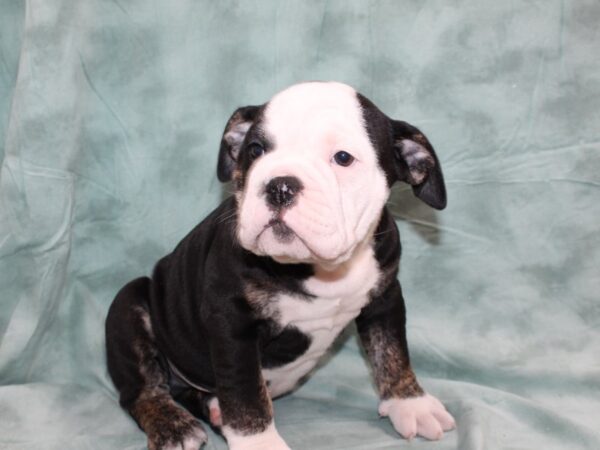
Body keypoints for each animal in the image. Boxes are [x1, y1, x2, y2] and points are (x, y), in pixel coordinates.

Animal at [106, 81, 454, 450]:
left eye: (343, 158)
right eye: (255, 149)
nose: (280, 184)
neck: (317, 268)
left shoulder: (385, 297)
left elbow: (392, 351)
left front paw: (411, 403)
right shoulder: (232, 321)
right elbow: (245, 392)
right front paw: (259, 441)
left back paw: (212, 408)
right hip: (129, 303)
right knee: (141, 391)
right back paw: (173, 425)